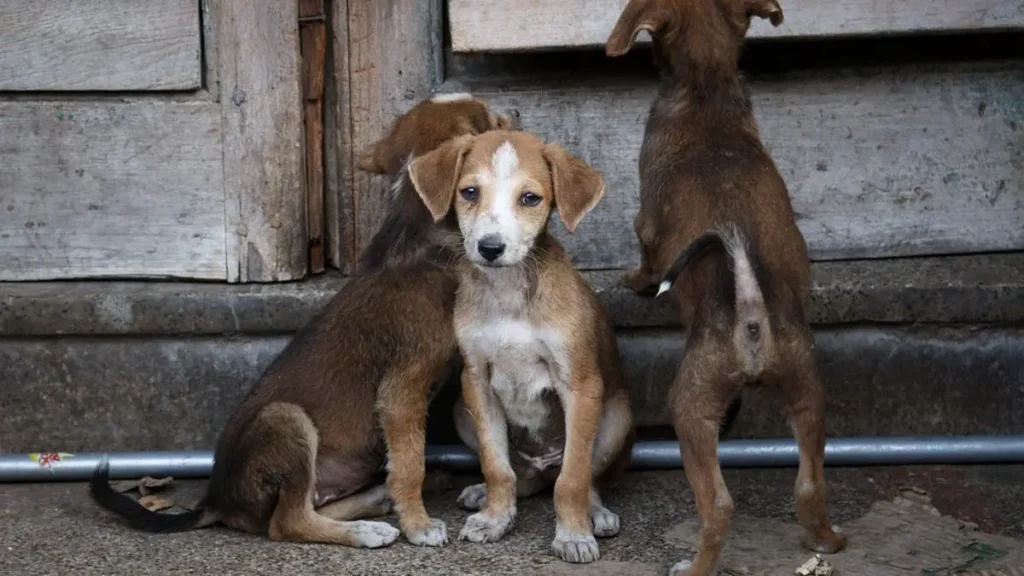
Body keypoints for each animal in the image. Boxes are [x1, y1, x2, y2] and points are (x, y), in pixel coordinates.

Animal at [91, 91, 516, 545]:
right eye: (491, 124)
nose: (516, 112)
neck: (417, 227)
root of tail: (217, 501)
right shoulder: (401, 391)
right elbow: (409, 464)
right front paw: (419, 525)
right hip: (285, 421)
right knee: (287, 521)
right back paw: (366, 531)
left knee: (312, 505)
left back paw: (374, 505)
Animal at [405, 129, 630, 561]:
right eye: (469, 192)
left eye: (530, 198)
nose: (490, 248)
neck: (508, 291)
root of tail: (542, 465)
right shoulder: (476, 380)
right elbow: (496, 467)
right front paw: (495, 519)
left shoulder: (579, 385)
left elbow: (573, 478)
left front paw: (573, 534)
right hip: (461, 412)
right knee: (522, 476)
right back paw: (486, 496)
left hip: (616, 417)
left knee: (579, 477)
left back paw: (596, 514)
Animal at [606, 1, 847, 573]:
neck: (705, 91)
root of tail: (751, 313)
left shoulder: (647, 226)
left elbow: (646, 260)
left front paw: (634, 281)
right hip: (808, 391)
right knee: (810, 487)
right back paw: (827, 542)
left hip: (691, 406)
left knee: (717, 505)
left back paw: (693, 566)